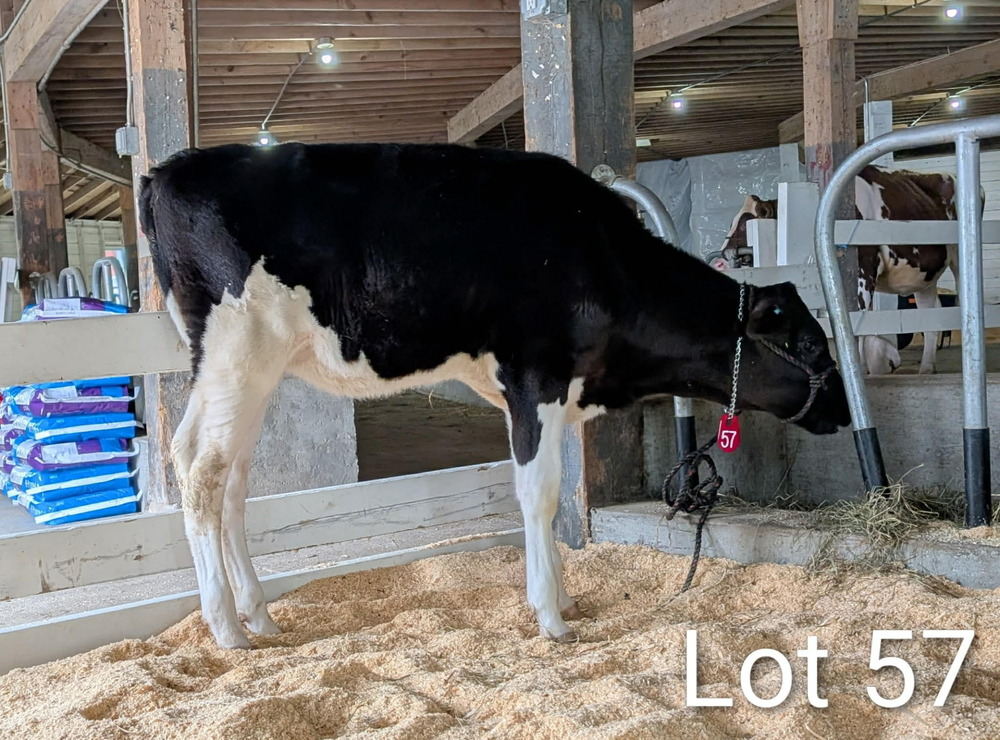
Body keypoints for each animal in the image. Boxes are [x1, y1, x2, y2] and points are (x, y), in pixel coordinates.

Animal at [139, 142, 850, 649]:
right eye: (813, 346)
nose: (843, 410)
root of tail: (165, 172)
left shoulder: (543, 390)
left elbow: (547, 489)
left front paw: (563, 598)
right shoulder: (537, 378)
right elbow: (540, 494)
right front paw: (551, 618)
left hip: (254, 374)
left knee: (232, 481)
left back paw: (259, 616)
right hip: (236, 353)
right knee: (200, 471)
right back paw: (226, 629)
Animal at [717, 165, 975, 375]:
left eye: (746, 223)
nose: (720, 261)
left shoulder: (863, 271)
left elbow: (854, 322)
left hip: (957, 259)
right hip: (924, 275)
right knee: (930, 312)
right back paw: (926, 367)